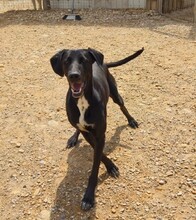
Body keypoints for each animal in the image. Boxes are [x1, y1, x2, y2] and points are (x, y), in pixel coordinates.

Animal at [49, 47, 143, 210]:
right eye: (66, 61)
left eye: (84, 60)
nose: (74, 75)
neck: (82, 101)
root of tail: (103, 63)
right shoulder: (88, 133)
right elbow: (98, 152)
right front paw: (111, 166)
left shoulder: (100, 134)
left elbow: (95, 166)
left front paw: (88, 196)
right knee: (77, 127)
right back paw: (73, 138)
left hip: (115, 94)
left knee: (122, 106)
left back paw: (131, 120)